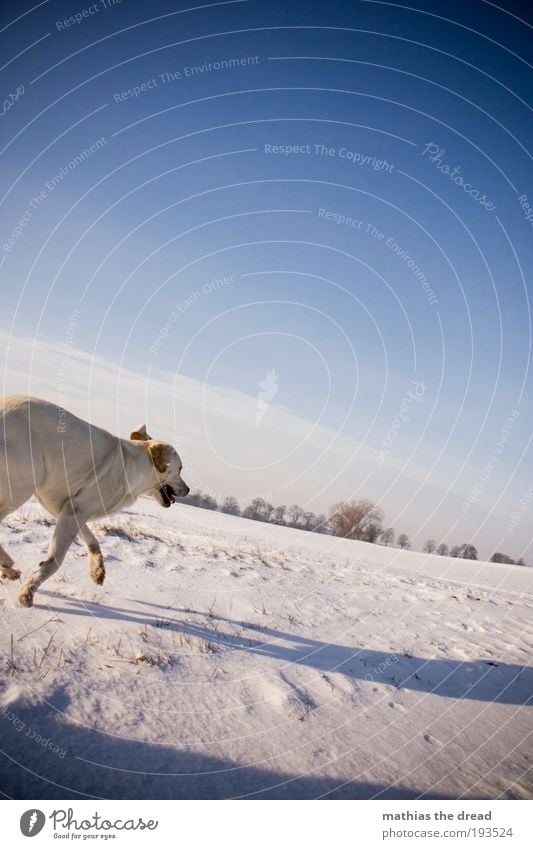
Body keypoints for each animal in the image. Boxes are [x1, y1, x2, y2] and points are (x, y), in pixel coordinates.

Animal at [0, 394, 189, 608]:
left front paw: (97, 571)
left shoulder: (68, 510)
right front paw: (28, 593)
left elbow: (92, 540)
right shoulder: (75, 511)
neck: (133, 466)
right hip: (23, 485)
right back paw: (8, 567)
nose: (188, 489)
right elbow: (55, 560)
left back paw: (8, 568)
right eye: (180, 469)